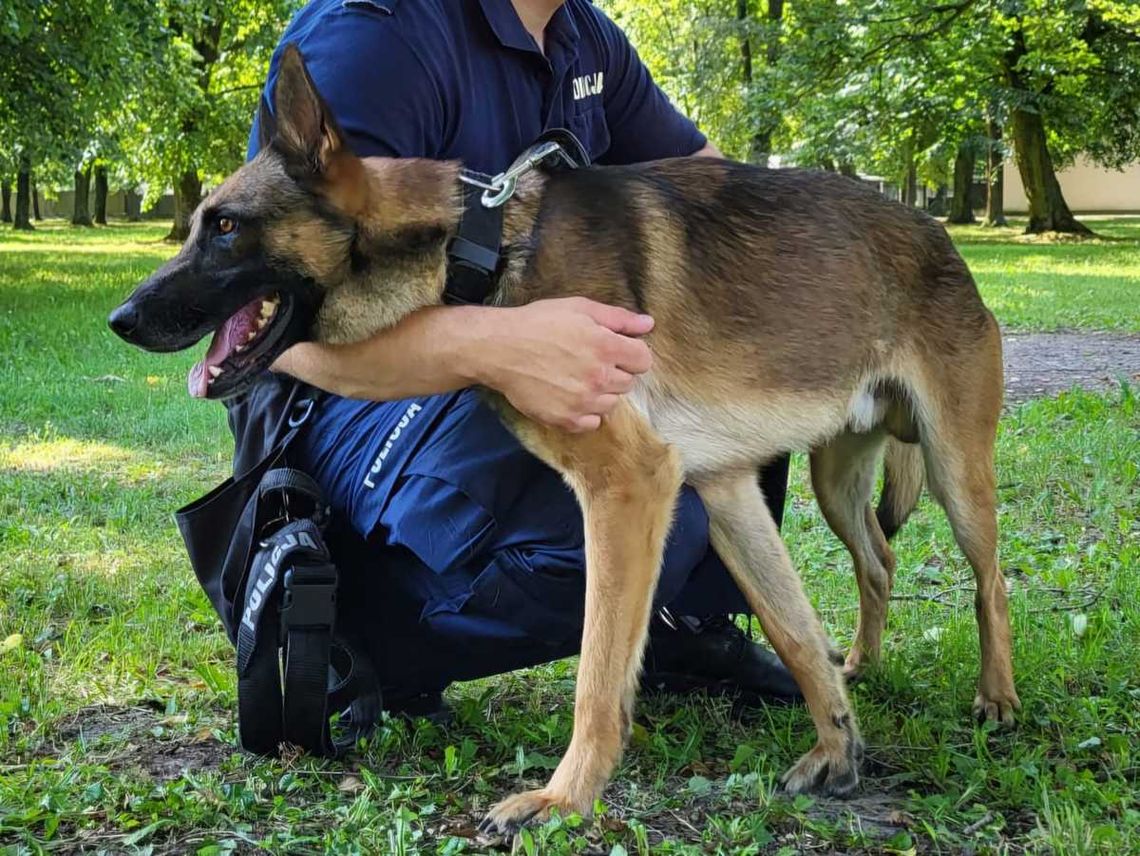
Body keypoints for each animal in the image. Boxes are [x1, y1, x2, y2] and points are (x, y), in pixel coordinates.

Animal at [111, 45, 1021, 829]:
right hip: (835, 481)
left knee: (989, 579)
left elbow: (598, 669)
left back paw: (999, 698)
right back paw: (861, 662)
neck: (480, 250)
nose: (122, 319)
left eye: (225, 226)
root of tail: (937, 234)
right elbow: (793, 631)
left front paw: (563, 798)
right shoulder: (718, 492)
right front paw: (837, 742)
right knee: (879, 558)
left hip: (956, 471)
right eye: (198, 224)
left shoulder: (628, 487)